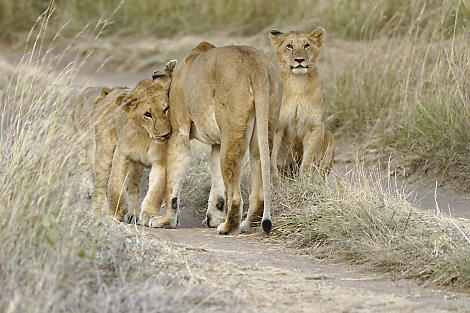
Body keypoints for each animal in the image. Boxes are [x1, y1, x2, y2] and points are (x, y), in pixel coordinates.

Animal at [147, 41, 280, 233]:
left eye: (161, 110)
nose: (159, 134)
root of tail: (255, 63)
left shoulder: (179, 133)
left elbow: (172, 182)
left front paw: (164, 221)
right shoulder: (218, 143)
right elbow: (216, 179)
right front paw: (215, 217)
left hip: (232, 133)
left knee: (235, 196)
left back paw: (227, 228)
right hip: (262, 130)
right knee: (259, 188)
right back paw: (244, 225)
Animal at [268, 27, 334, 176]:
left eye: (306, 45)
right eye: (289, 46)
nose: (299, 60)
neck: (297, 84)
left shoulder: (315, 126)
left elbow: (308, 161)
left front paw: (306, 179)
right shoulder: (276, 125)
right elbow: (272, 158)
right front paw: (274, 180)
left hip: (329, 135)